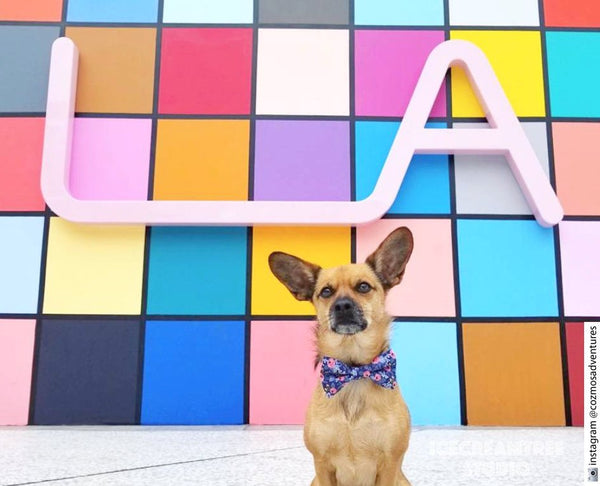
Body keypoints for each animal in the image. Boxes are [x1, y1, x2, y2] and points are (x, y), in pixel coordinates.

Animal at [268, 228, 412, 486]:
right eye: (326, 291)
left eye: (363, 287)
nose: (342, 306)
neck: (353, 369)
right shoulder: (322, 465)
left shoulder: (389, 464)